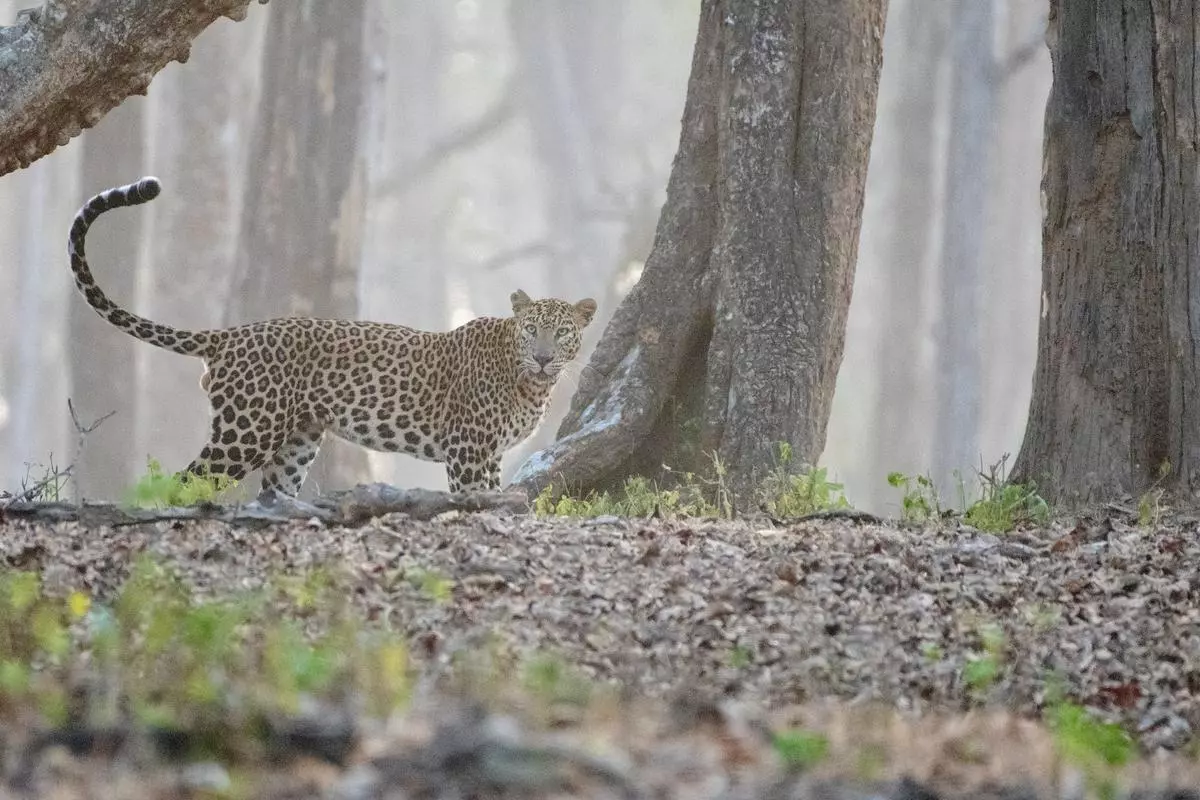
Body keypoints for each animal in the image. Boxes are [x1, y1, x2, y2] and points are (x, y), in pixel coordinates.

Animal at [66, 178, 595, 496]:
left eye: (562, 333)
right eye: (532, 331)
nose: (544, 358)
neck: (531, 383)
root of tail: (231, 335)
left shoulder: (491, 455)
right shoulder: (469, 450)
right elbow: (473, 500)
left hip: (296, 442)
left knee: (271, 492)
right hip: (246, 431)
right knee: (183, 481)